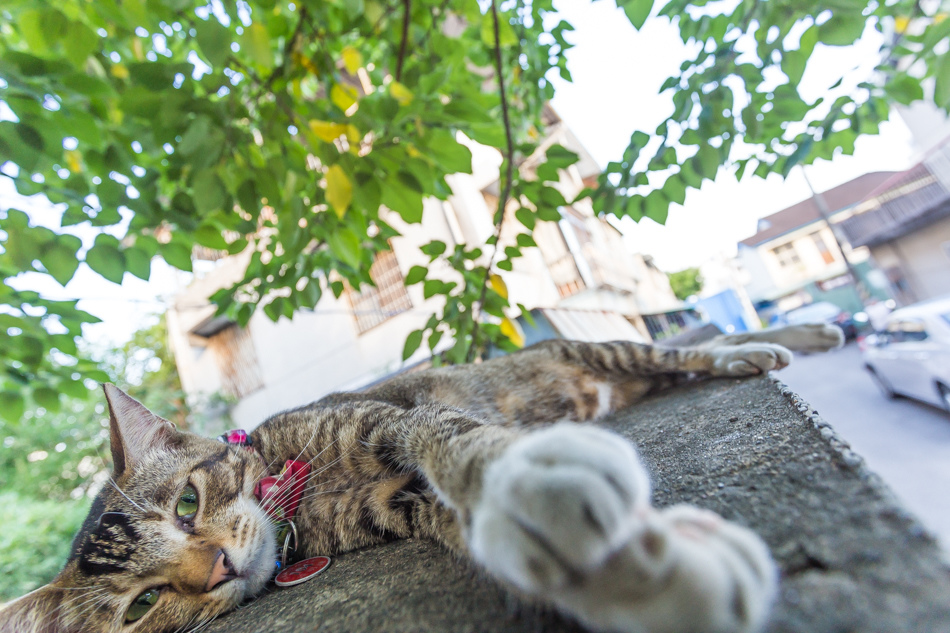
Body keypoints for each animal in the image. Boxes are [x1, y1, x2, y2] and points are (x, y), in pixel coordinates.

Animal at [3, 324, 844, 632]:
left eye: (186, 501)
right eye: (143, 604)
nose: (216, 567)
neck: (302, 499)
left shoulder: (382, 417)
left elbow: (449, 438)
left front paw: (525, 481)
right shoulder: (395, 503)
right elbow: (453, 517)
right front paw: (637, 576)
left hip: (602, 347)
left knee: (687, 351)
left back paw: (775, 340)